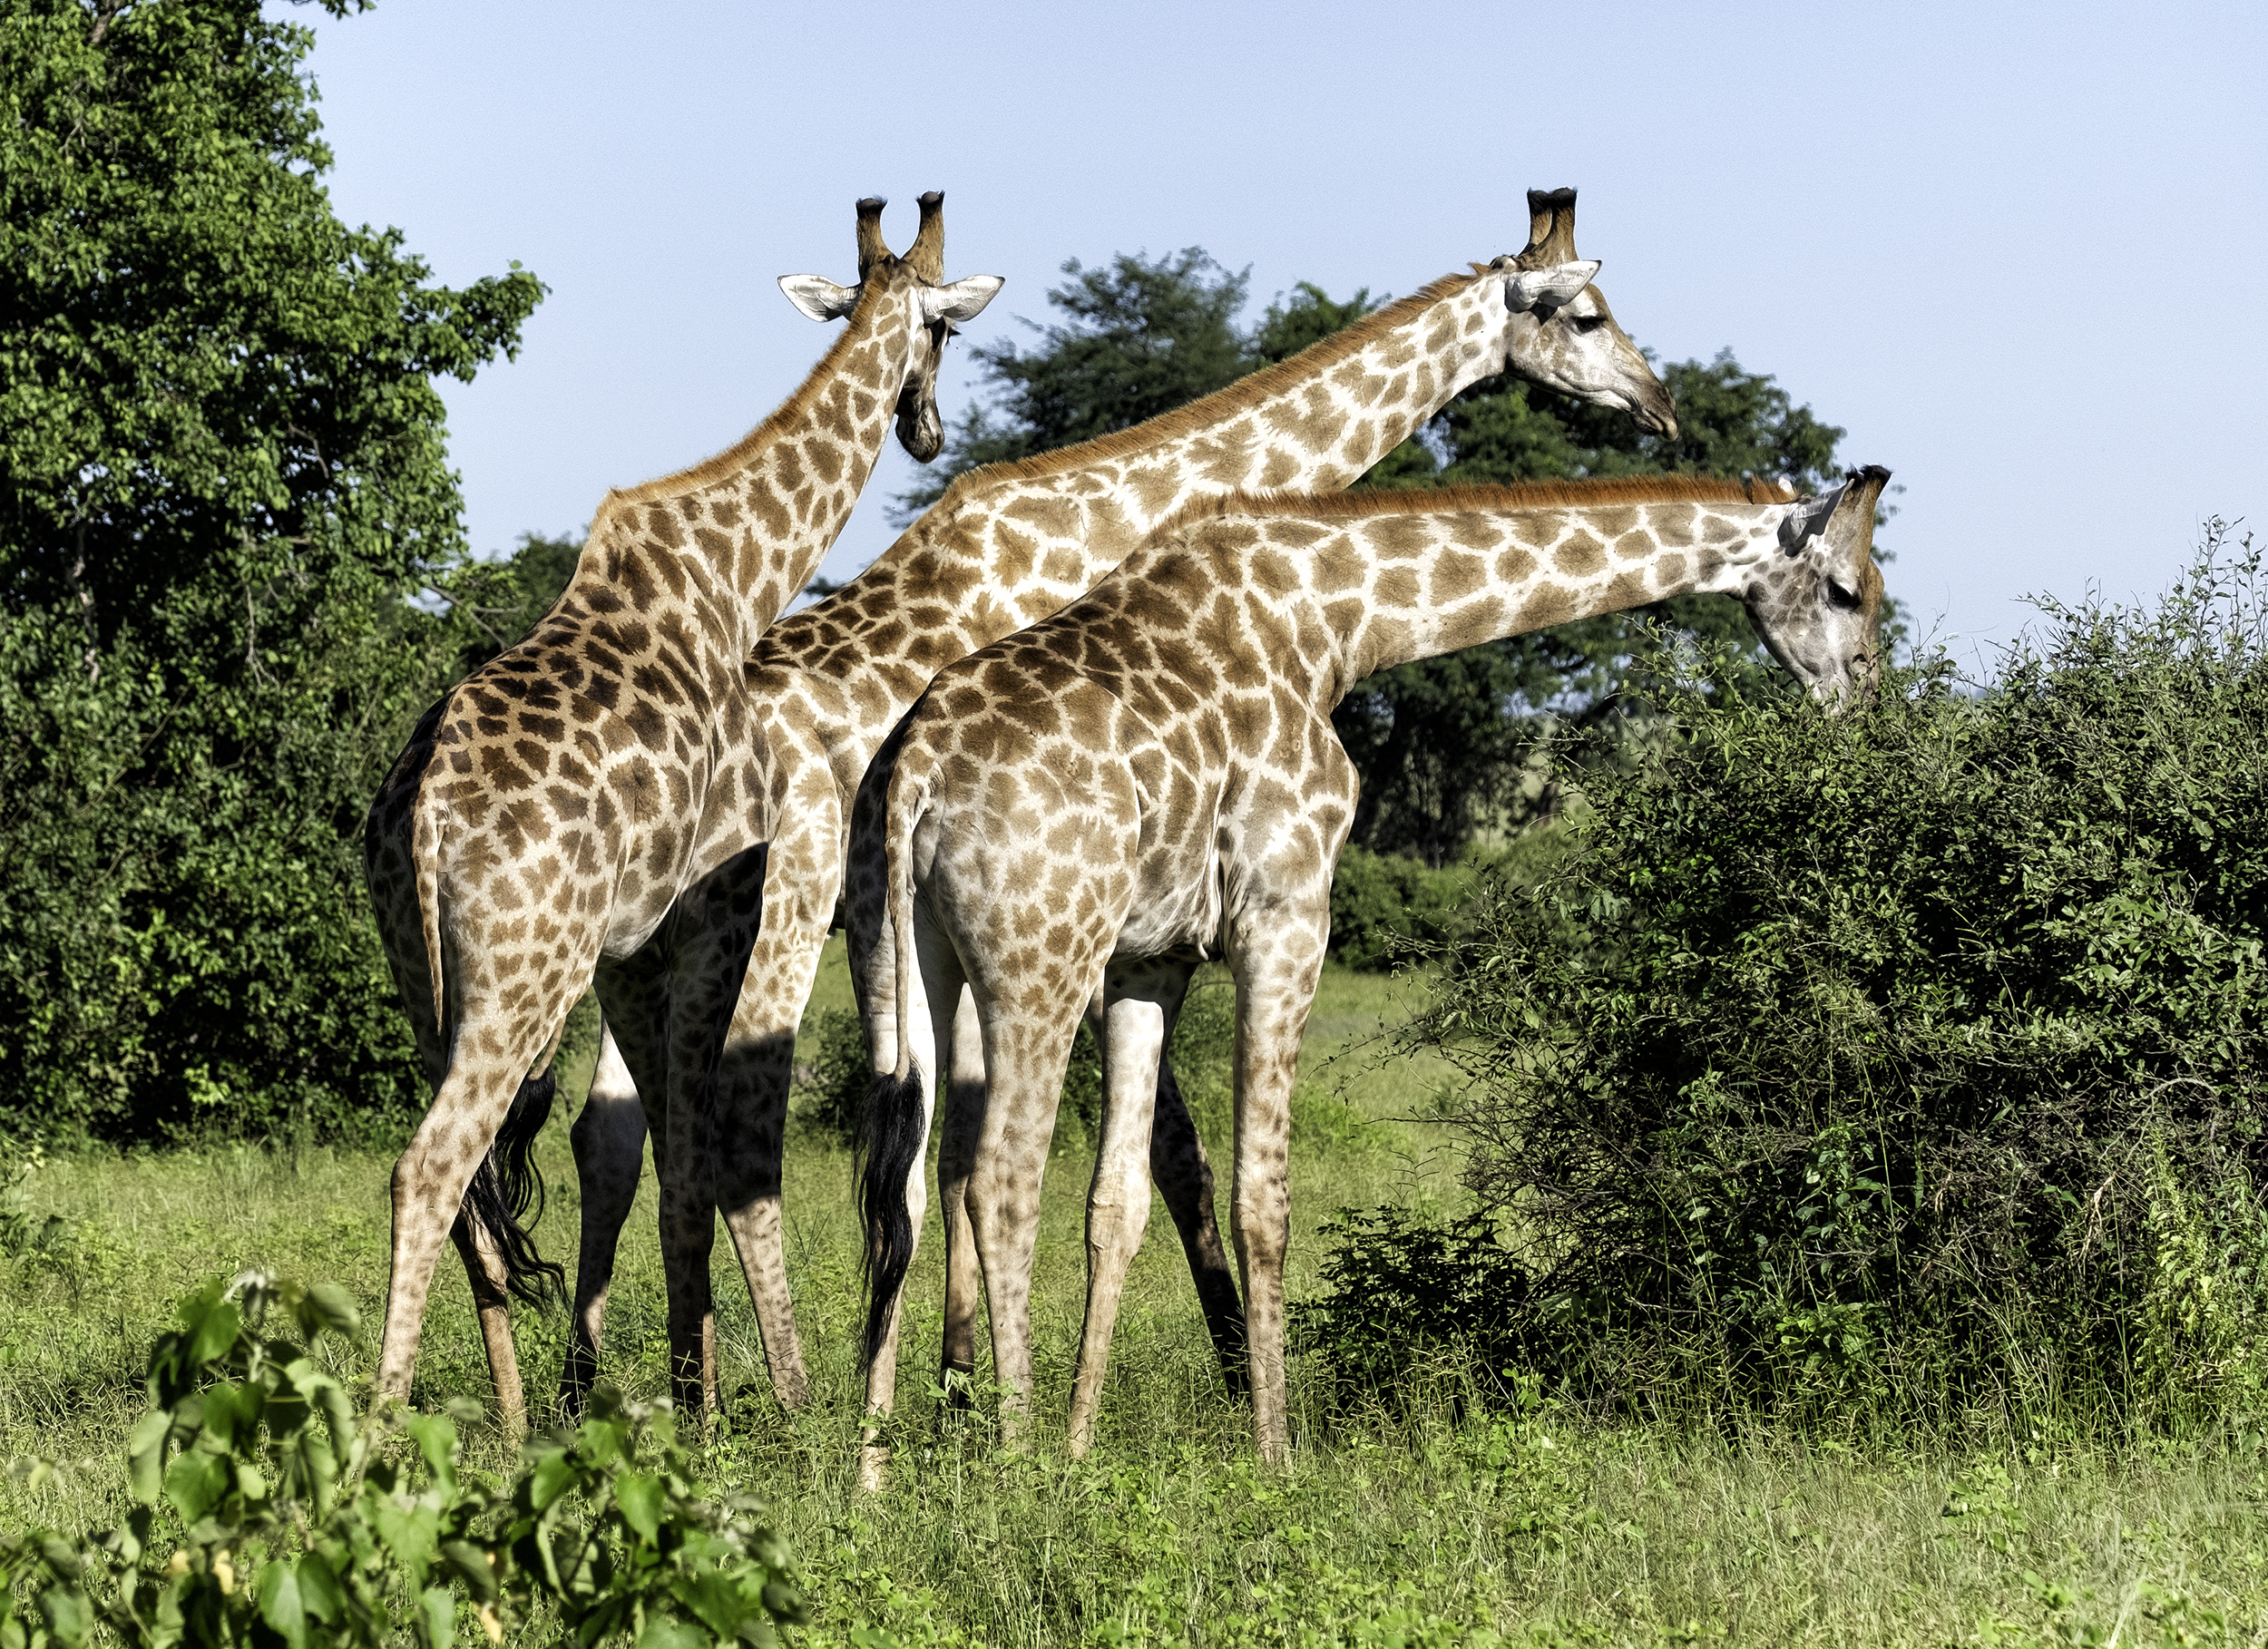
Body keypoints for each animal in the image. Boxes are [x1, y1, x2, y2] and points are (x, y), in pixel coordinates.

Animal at [363, 193, 1002, 1433]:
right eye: (948, 331)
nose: (928, 430)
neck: (731, 582)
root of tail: (416, 818)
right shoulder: (719, 911)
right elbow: (702, 1161)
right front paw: (736, 1413)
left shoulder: (632, 947)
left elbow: (670, 1165)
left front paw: (687, 1398)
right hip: (522, 970)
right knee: (430, 1167)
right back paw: (375, 1432)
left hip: (424, 981)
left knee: (469, 1195)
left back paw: (511, 1424)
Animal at [555, 183, 1678, 1415]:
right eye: (1589, 315)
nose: (1660, 407)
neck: (1110, 516)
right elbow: (1116, 1152)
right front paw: (1167, 1380)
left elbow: (1008, 1144)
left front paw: (966, 1381)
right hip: (780, 912)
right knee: (741, 1129)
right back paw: (786, 1402)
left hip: (646, 952)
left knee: (612, 1135)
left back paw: (613, 1391)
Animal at [853, 464, 1896, 1460]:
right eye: (1847, 590)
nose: (1864, 709)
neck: (1336, 624)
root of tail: (916, 777)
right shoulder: (1286, 912)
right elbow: (1263, 1198)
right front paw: (1274, 1458)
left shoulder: (1152, 957)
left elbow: (1118, 1203)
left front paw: (1082, 1453)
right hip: (1042, 955)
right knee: (996, 1182)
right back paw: (1011, 1459)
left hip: (906, 953)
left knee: (903, 1182)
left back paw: (874, 1470)